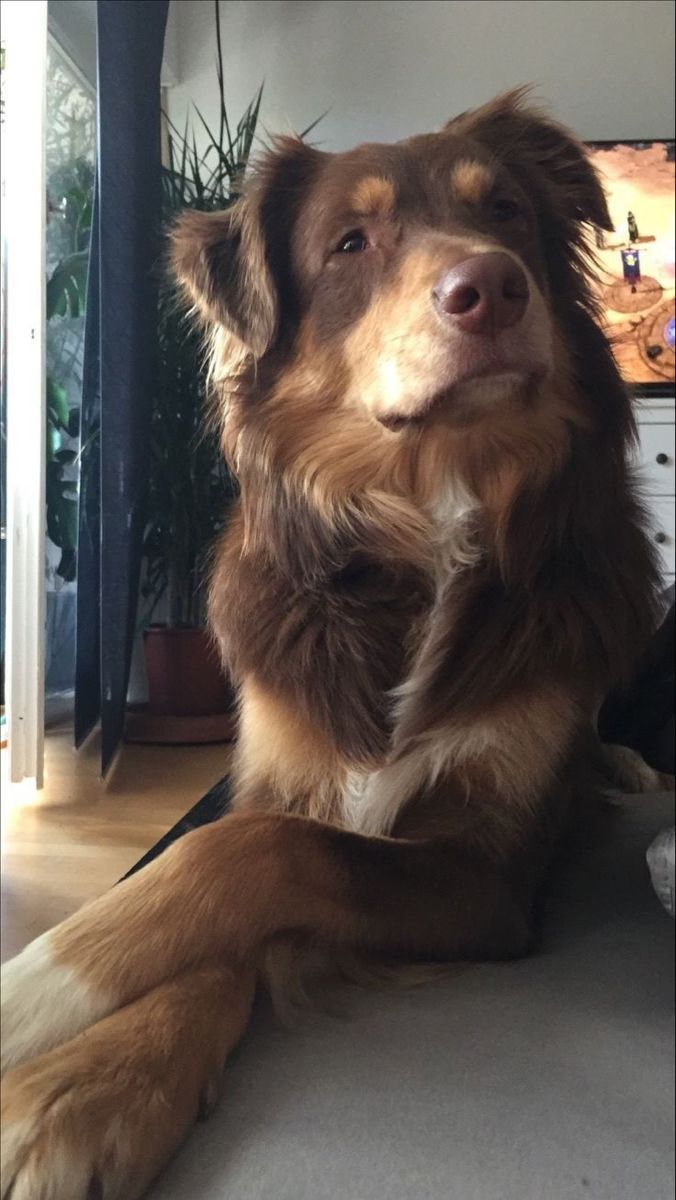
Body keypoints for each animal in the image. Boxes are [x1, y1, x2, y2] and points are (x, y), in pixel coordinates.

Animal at [0, 93, 667, 1200]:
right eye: (351, 243)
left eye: (507, 213)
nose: (492, 288)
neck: (429, 509)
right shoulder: (278, 776)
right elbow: (222, 885)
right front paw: (91, 1083)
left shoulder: (490, 874)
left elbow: (249, 859)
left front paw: (31, 997)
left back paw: (621, 765)